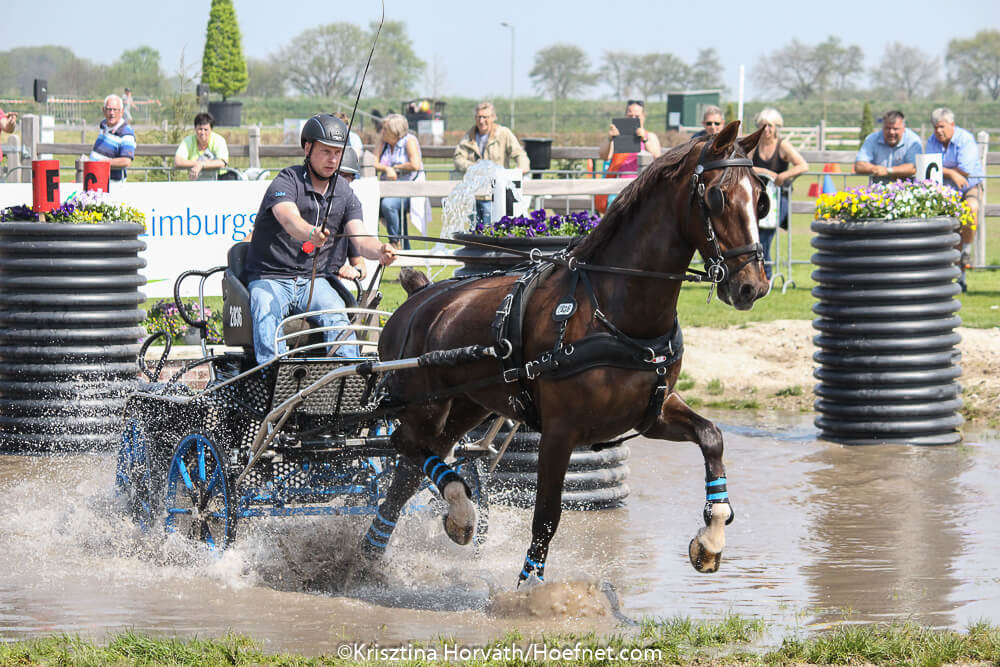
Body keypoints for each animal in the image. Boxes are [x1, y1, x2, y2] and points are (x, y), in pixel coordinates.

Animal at [364, 122, 768, 588]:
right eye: (718, 196)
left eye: (760, 196)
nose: (753, 286)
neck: (612, 309)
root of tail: (416, 300)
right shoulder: (559, 432)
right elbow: (547, 515)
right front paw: (529, 588)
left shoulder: (653, 412)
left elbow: (712, 437)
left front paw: (712, 538)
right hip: (424, 403)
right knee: (406, 444)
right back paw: (451, 513)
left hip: (466, 405)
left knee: (410, 467)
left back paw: (383, 546)